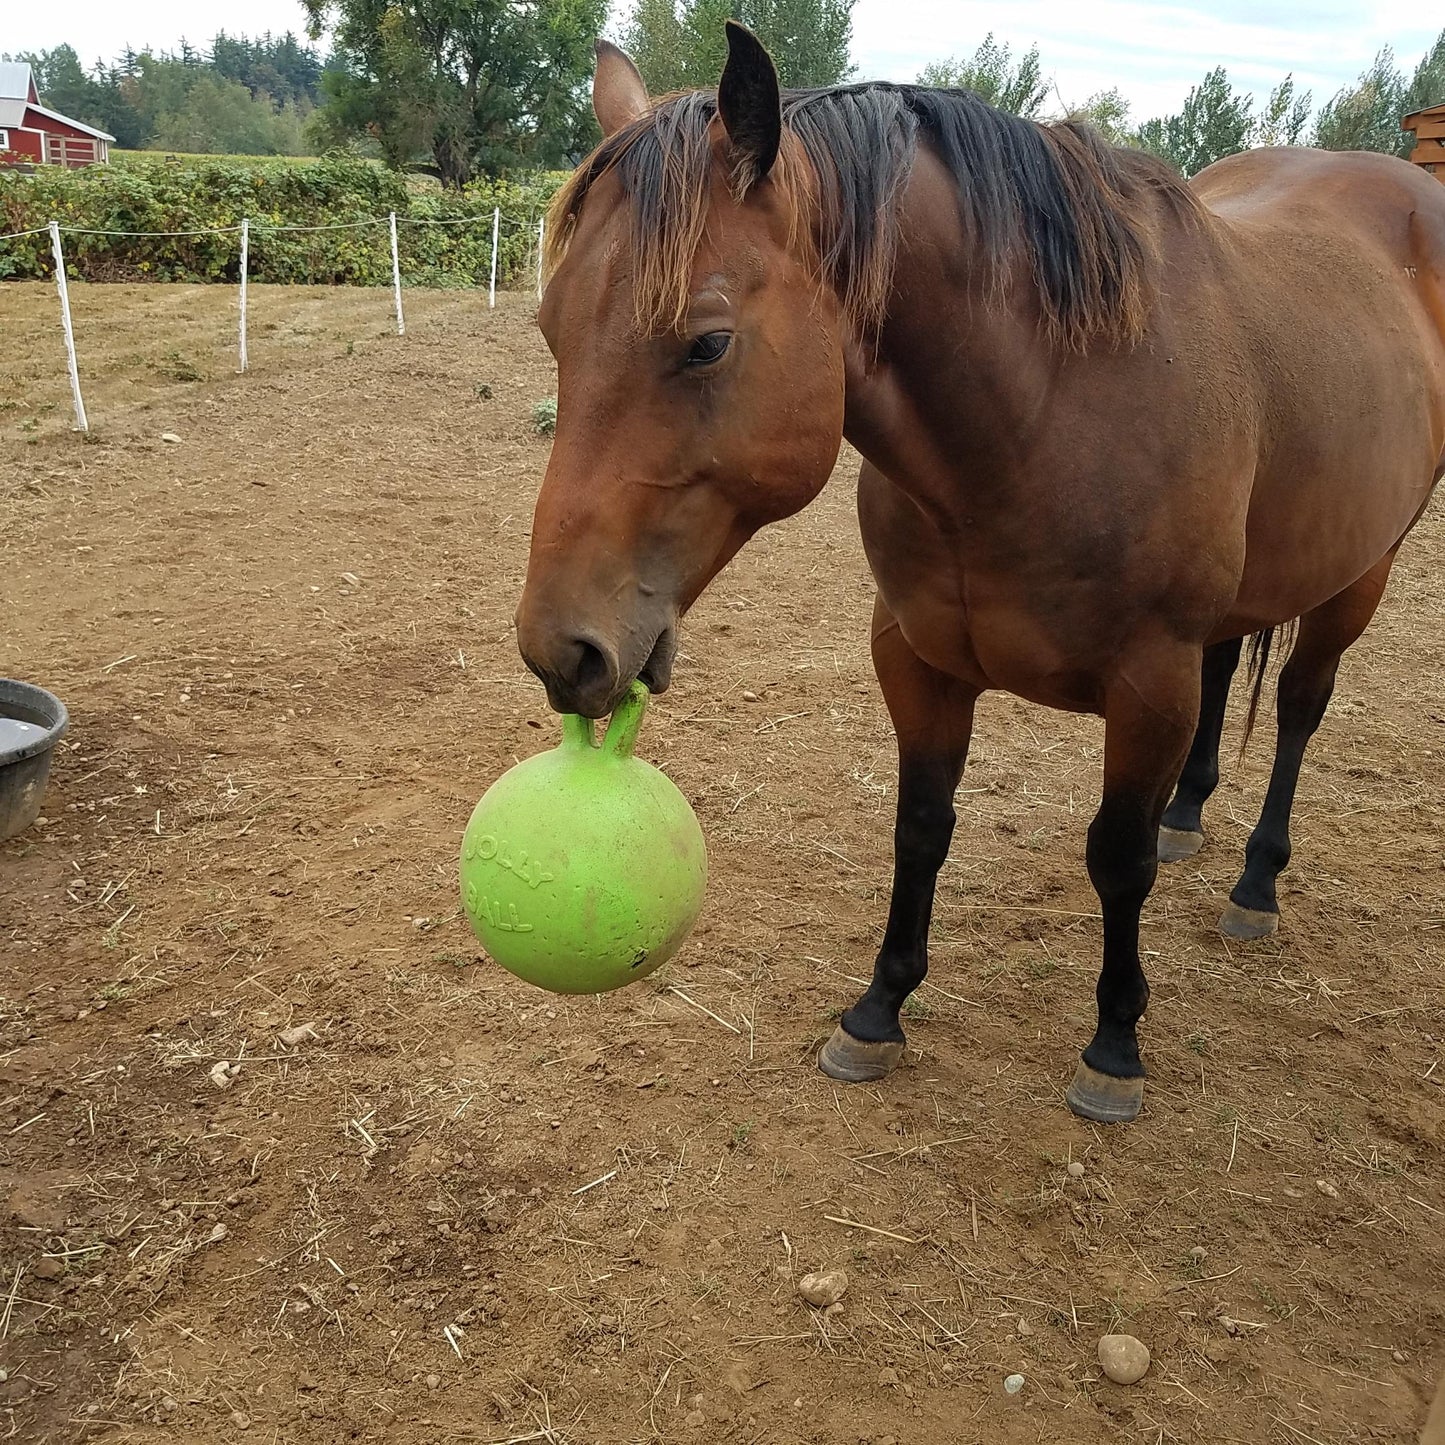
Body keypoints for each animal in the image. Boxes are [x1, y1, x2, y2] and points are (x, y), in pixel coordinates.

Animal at [514, 25, 1439, 1127]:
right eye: (550, 330)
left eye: (706, 343)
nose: (560, 648)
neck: (1048, 411)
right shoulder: (916, 658)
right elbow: (920, 827)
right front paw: (876, 1011)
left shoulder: (1148, 685)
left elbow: (1115, 857)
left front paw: (1113, 1046)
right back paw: (1188, 816)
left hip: (1362, 573)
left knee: (1299, 707)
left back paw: (1254, 883)